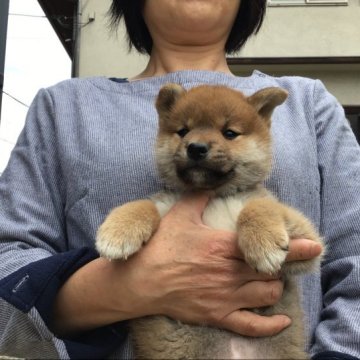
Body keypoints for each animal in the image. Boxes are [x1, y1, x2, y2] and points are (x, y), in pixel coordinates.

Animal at [95, 83, 324, 358]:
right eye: (183, 131)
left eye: (229, 133)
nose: (195, 147)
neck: (214, 195)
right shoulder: (165, 205)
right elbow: (143, 204)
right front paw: (117, 233)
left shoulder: (307, 242)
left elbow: (258, 207)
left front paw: (263, 243)